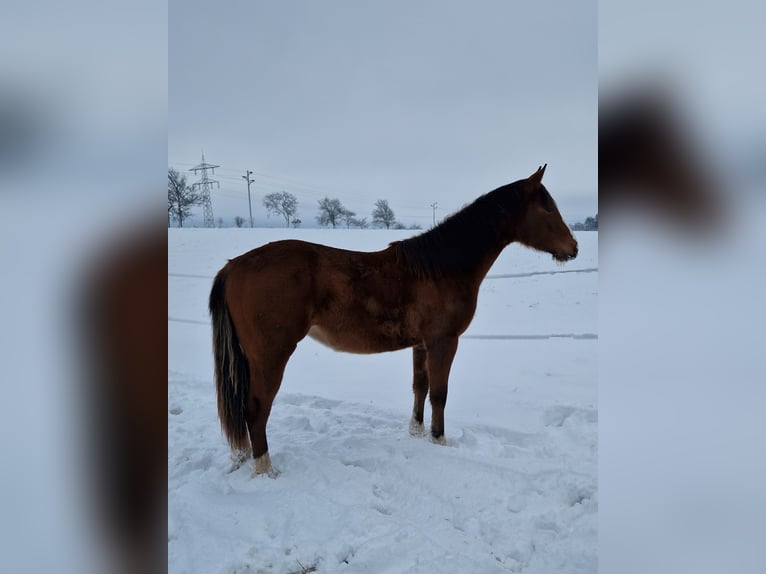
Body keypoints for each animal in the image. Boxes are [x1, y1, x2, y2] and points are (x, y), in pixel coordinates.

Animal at [209, 165, 578, 477]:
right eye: (547, 208)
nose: (573, 247)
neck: (441, 268)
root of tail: (234, 266)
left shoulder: (421, 344)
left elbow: (420, 387)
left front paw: (416, 433)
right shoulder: (444, 342)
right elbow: (439, 393)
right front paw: (439, 440)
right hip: (270, 357)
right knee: (255, 410)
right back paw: (265, 469)